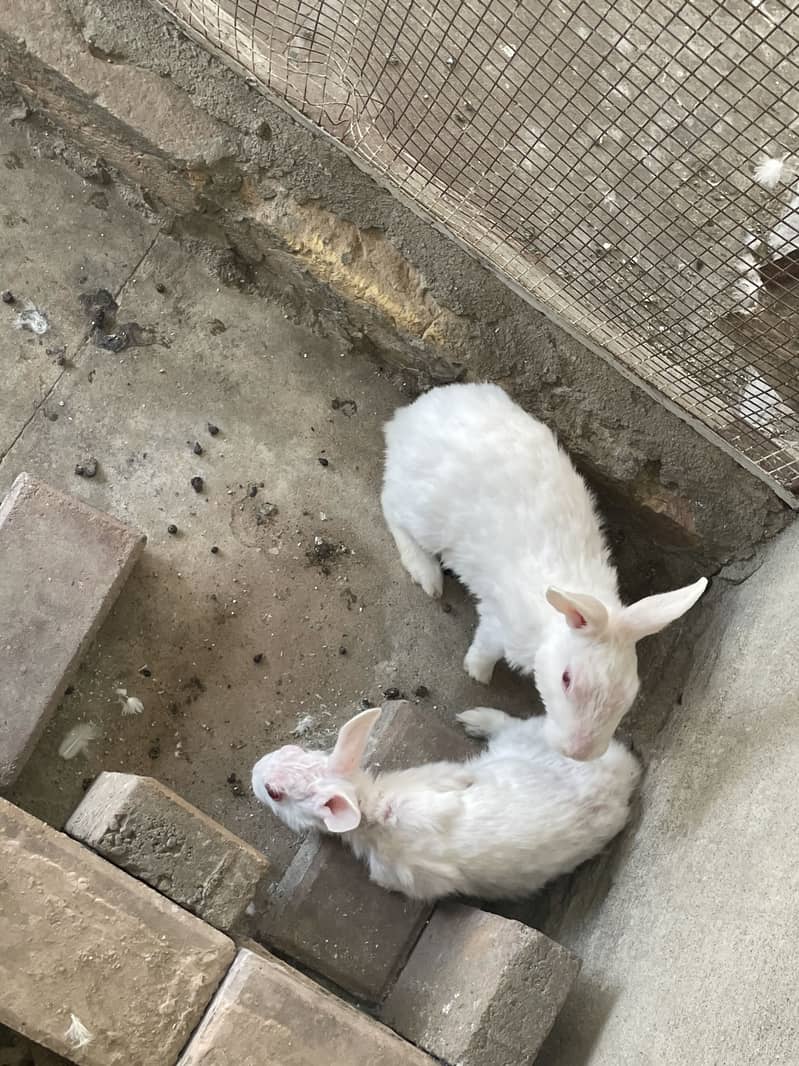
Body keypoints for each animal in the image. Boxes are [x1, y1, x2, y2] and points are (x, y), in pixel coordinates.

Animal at [251, 704, 641, 902]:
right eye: (296, 750)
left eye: (274, 792)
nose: (255, 770)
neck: (374, 811)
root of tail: (627, 776)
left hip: (527, 734)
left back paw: (472, 718)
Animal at [381, 382, 707, 761]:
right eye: (566, 679)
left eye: (629, 693)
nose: (578, 753)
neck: (552, 625)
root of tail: (408, 418)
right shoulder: (499, 623)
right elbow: (486, 648)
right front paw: (477, 674)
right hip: (424, 514)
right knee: (391, 507)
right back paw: (427, 575)